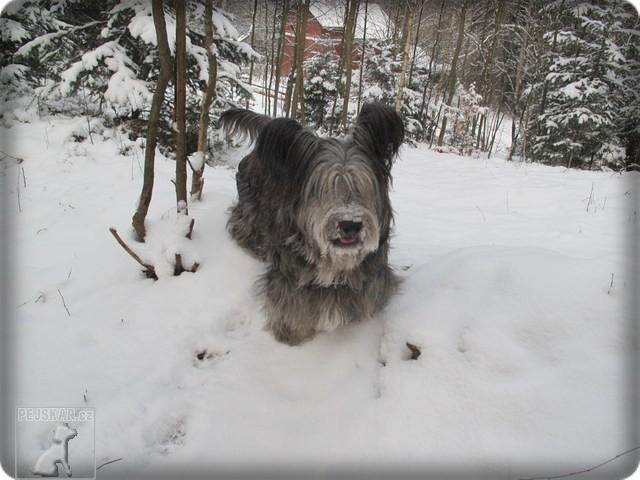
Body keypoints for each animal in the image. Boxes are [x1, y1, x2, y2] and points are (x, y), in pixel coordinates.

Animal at [218, 104, 402, 344]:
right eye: (324, 190)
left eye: (361, 186)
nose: (349, 224)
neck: (336, 263)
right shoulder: (290, 277)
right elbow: (292, 306)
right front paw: (292, 334)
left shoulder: (373, 277)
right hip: (251, 209)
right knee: (242, 224)